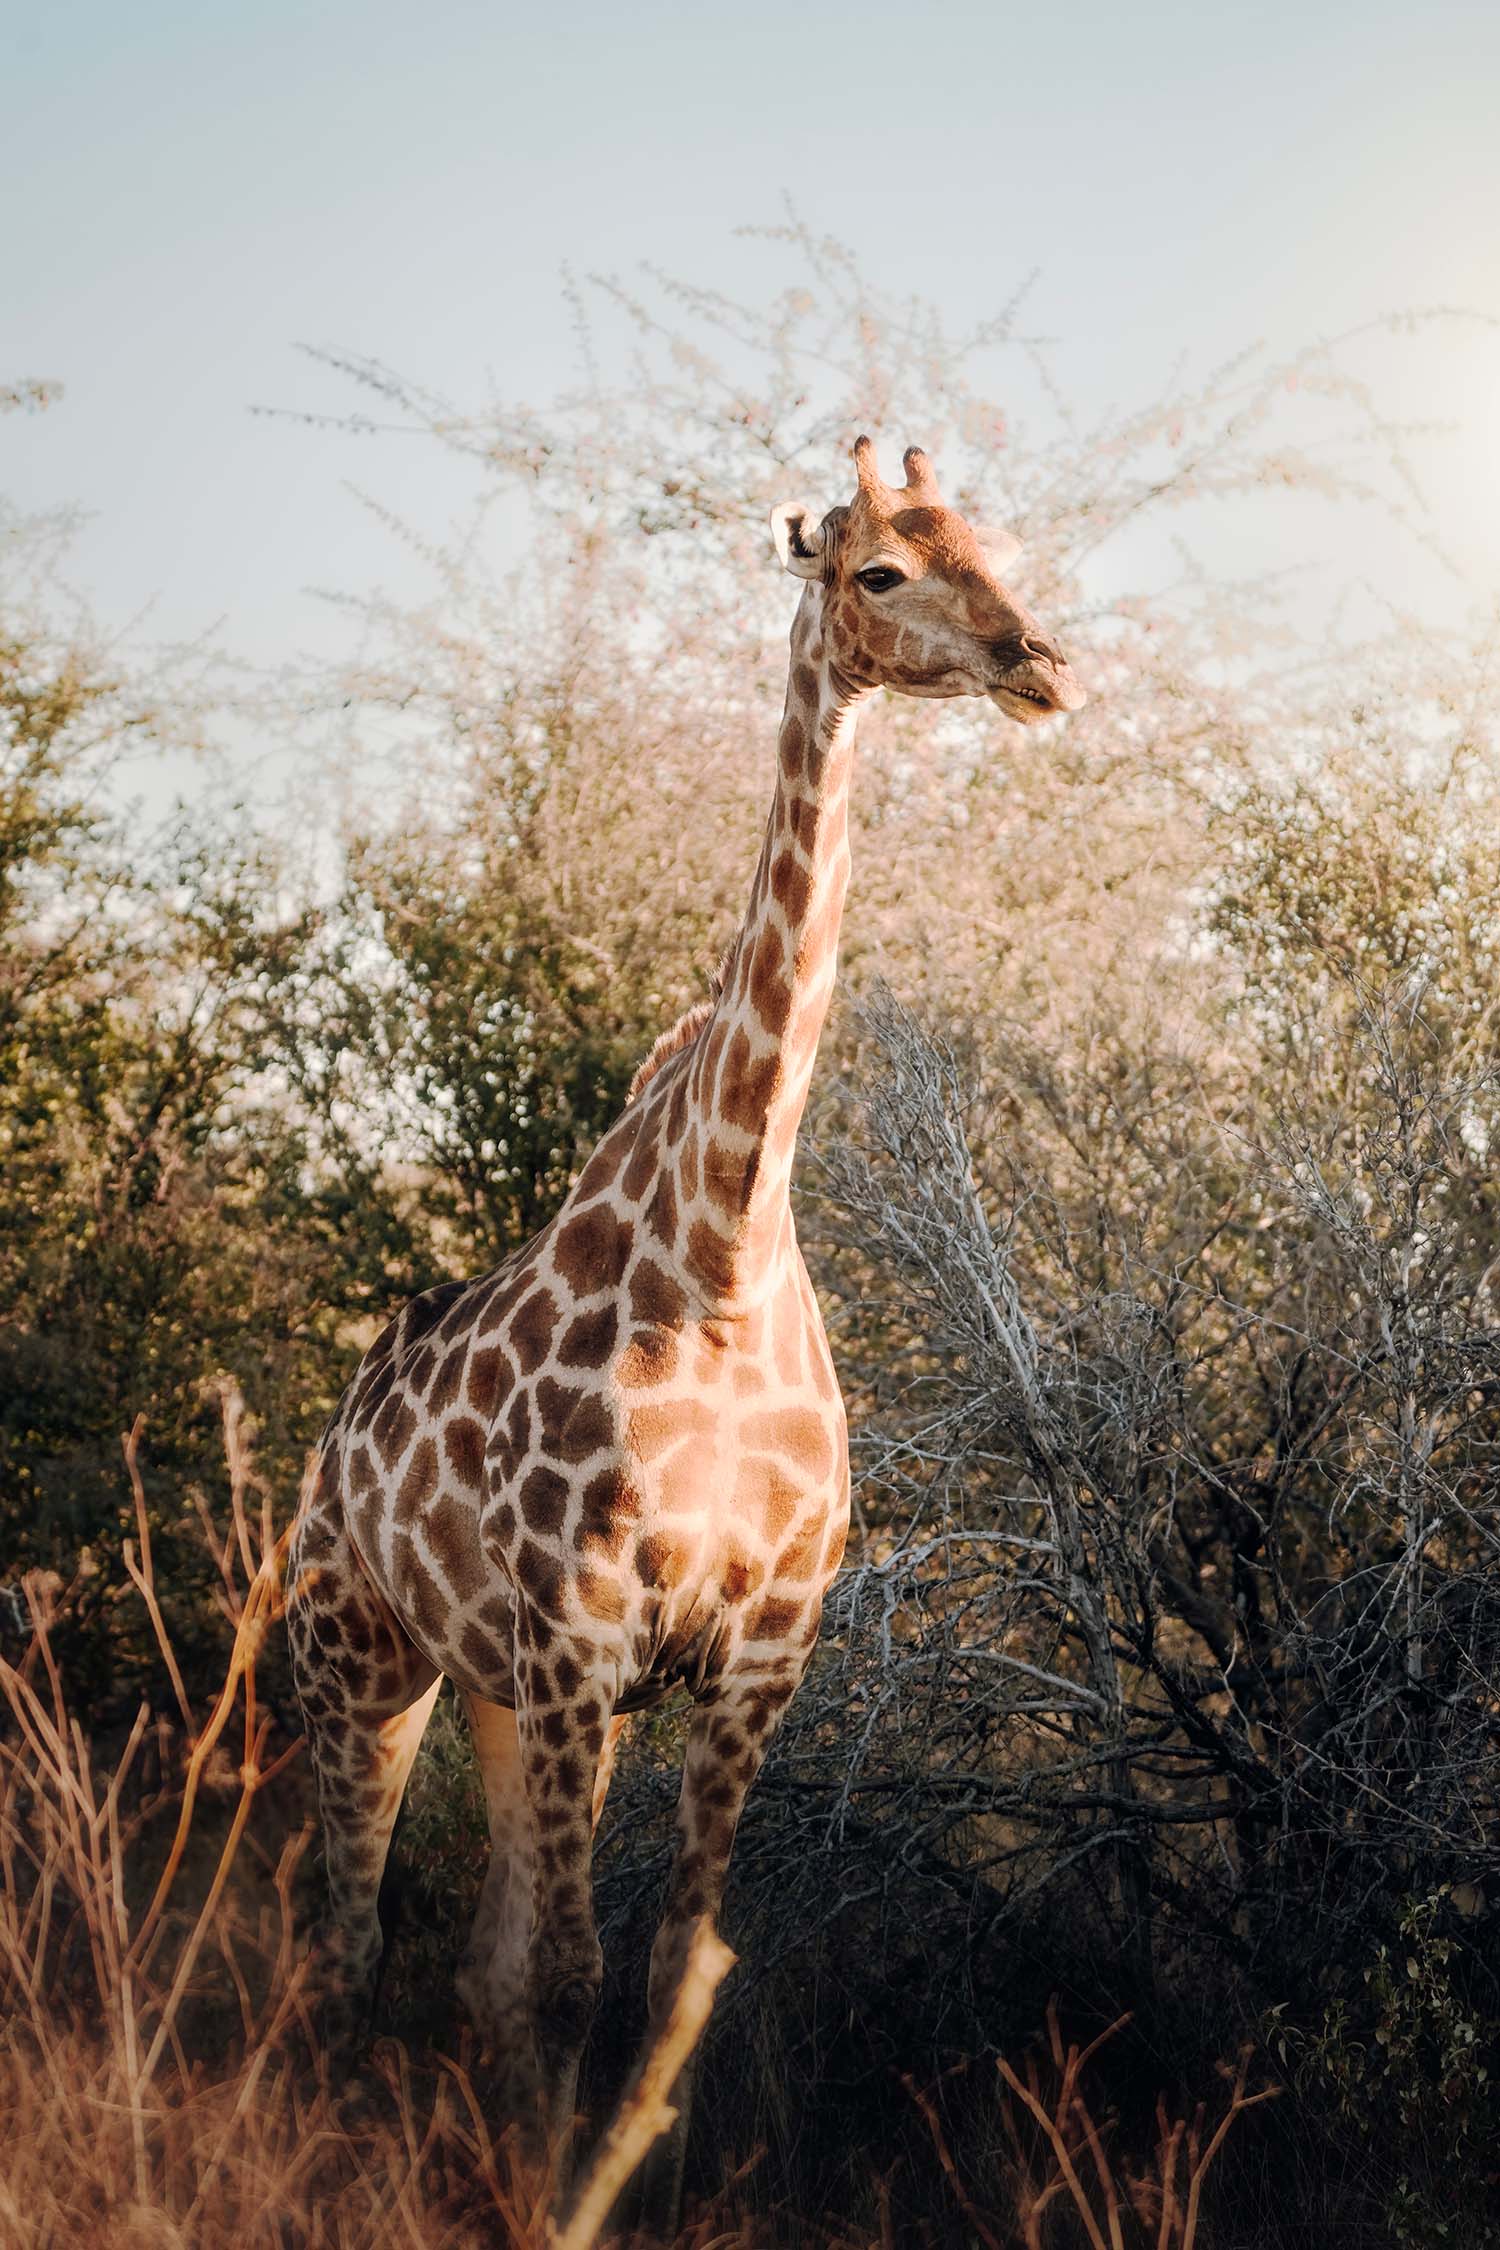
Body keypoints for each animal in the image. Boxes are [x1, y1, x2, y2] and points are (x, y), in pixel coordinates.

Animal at [287, 434, 1085, 2214]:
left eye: (994, 545)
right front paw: (545, 2207)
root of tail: (332, 1433)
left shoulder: (753, 1657)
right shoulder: (583, 1635)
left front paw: (615, 2195)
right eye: (876, 570)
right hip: (360, 1660)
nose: (1039, 663)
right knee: (341, 1938)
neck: (719, 1252)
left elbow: (659, 1976)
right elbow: (571, 1977)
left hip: (492, 1690)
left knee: (469, 1957)